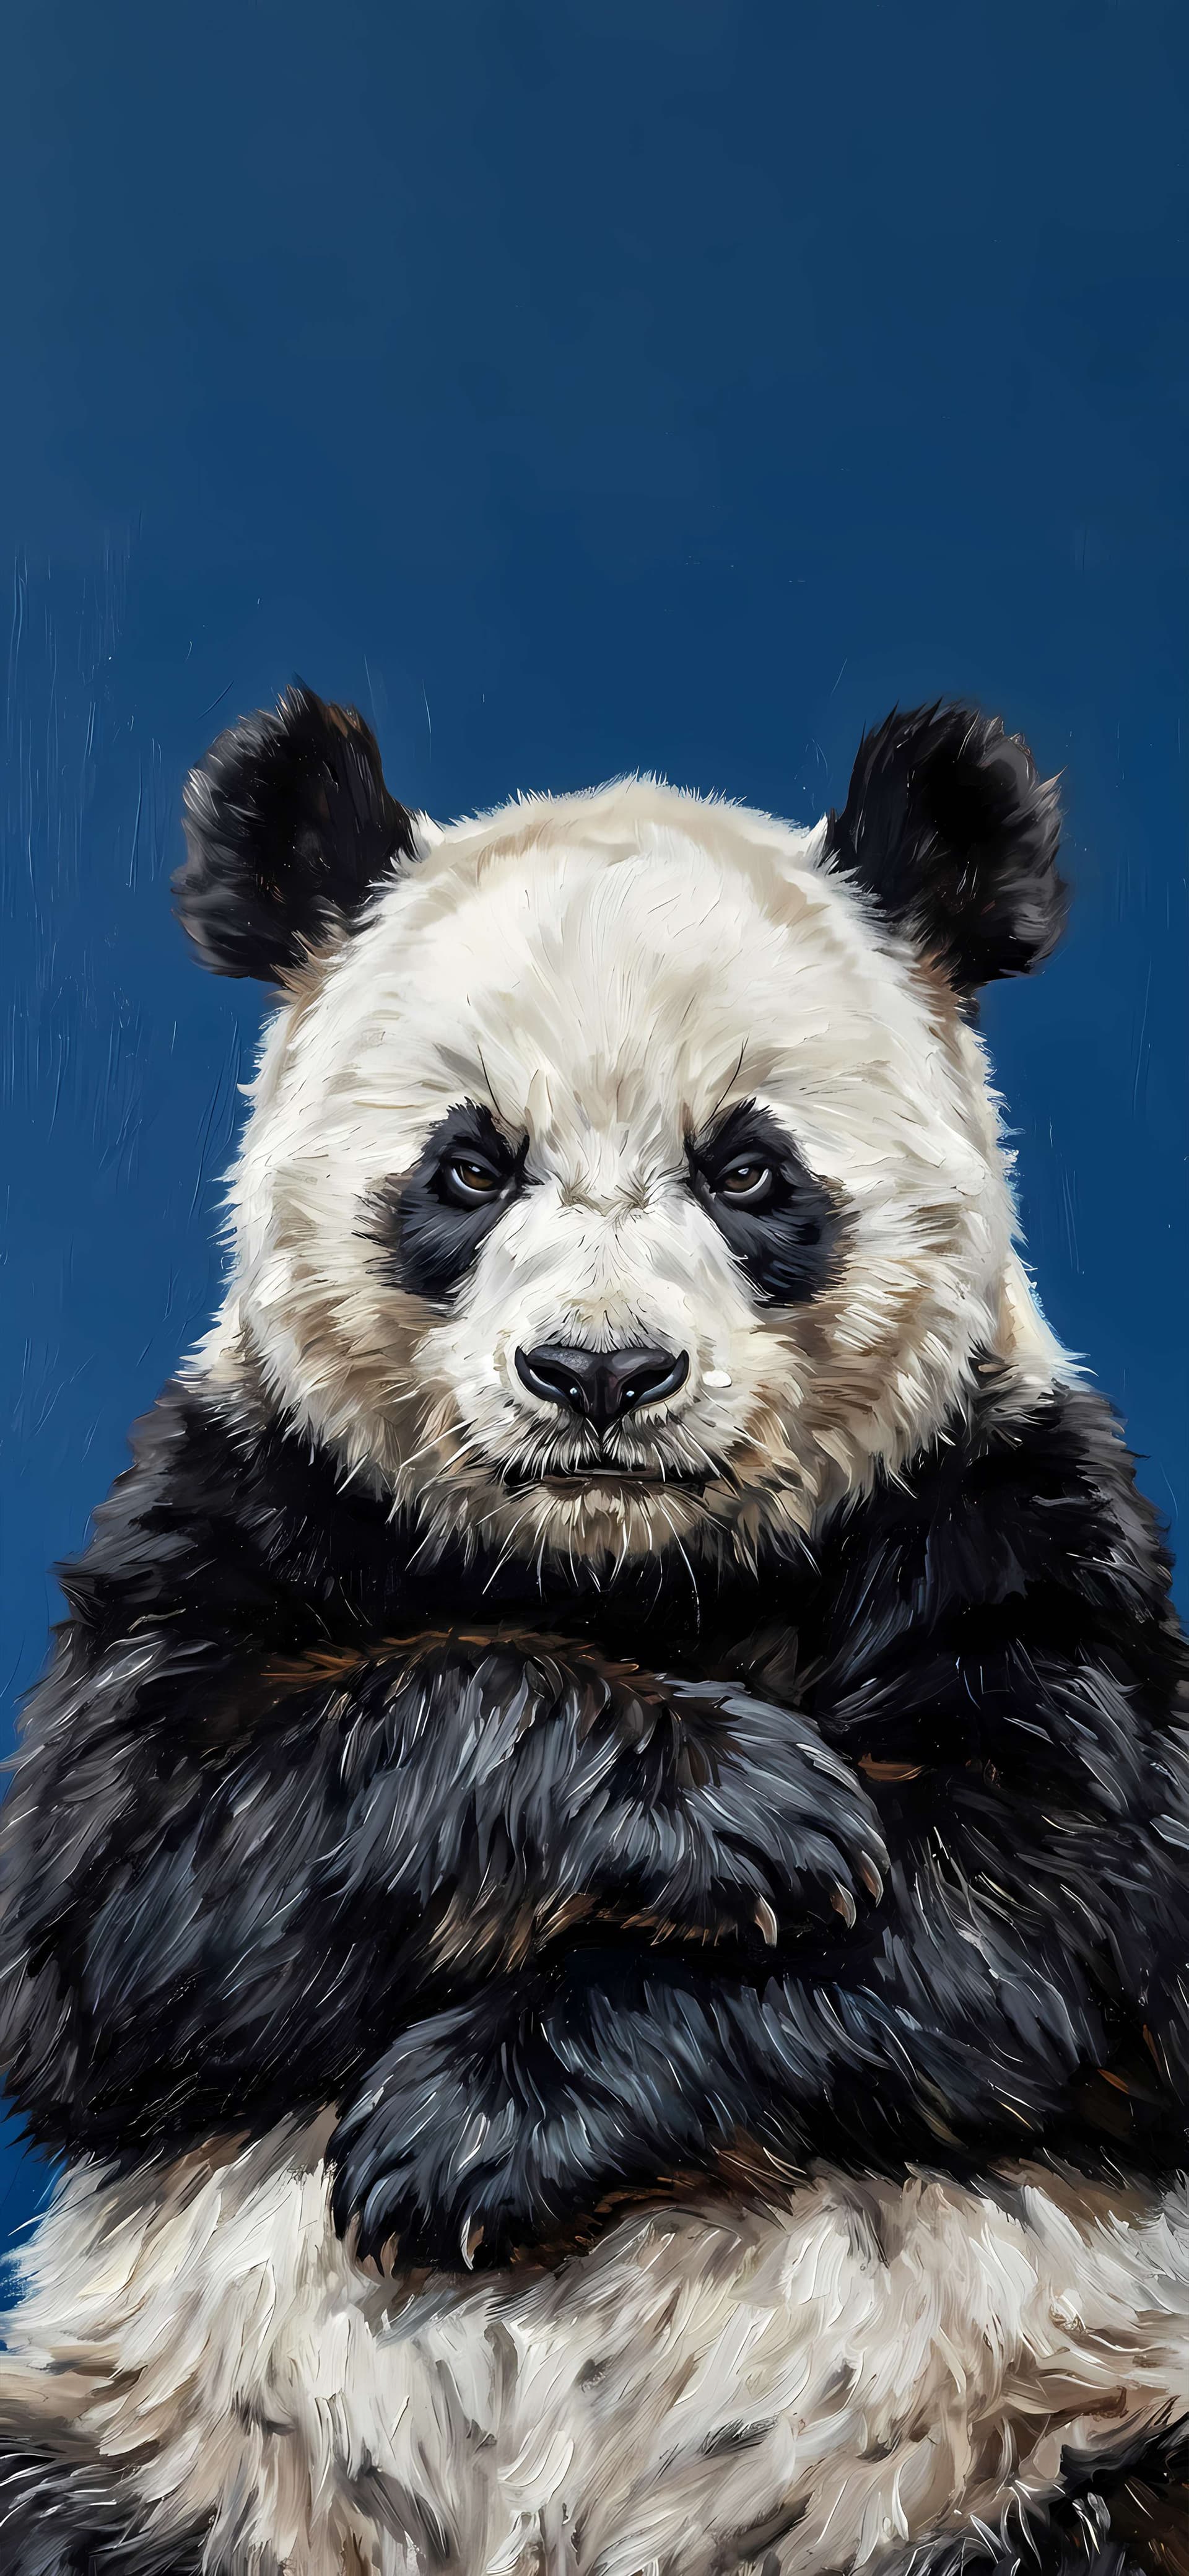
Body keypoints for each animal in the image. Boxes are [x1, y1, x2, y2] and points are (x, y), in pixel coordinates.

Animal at [0, 685, 1188, 2576]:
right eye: (468, 1165)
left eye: (751, 1167)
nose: (603, 1374)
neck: (623, 1573)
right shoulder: (243, 1480)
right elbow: (123, 1886)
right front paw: (736, 1798)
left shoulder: (999, 1494)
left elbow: (1052, 1903)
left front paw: (456, 2124)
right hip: (154, 2447)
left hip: (1036, 2438)